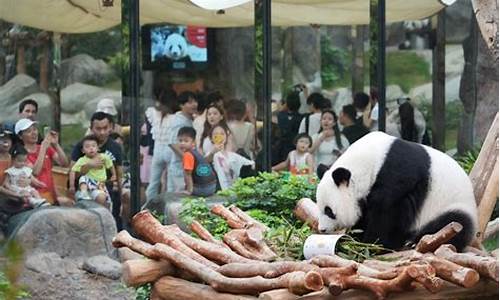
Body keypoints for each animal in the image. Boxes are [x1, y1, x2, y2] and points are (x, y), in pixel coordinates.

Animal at [316, 131, 476, 251]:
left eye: (329, 211)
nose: (322, 229)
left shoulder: (398, 176)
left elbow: (387, 212)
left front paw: (373, 244)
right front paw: (356, 237)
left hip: (453, 206)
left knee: (455, 222)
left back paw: (414, 241)